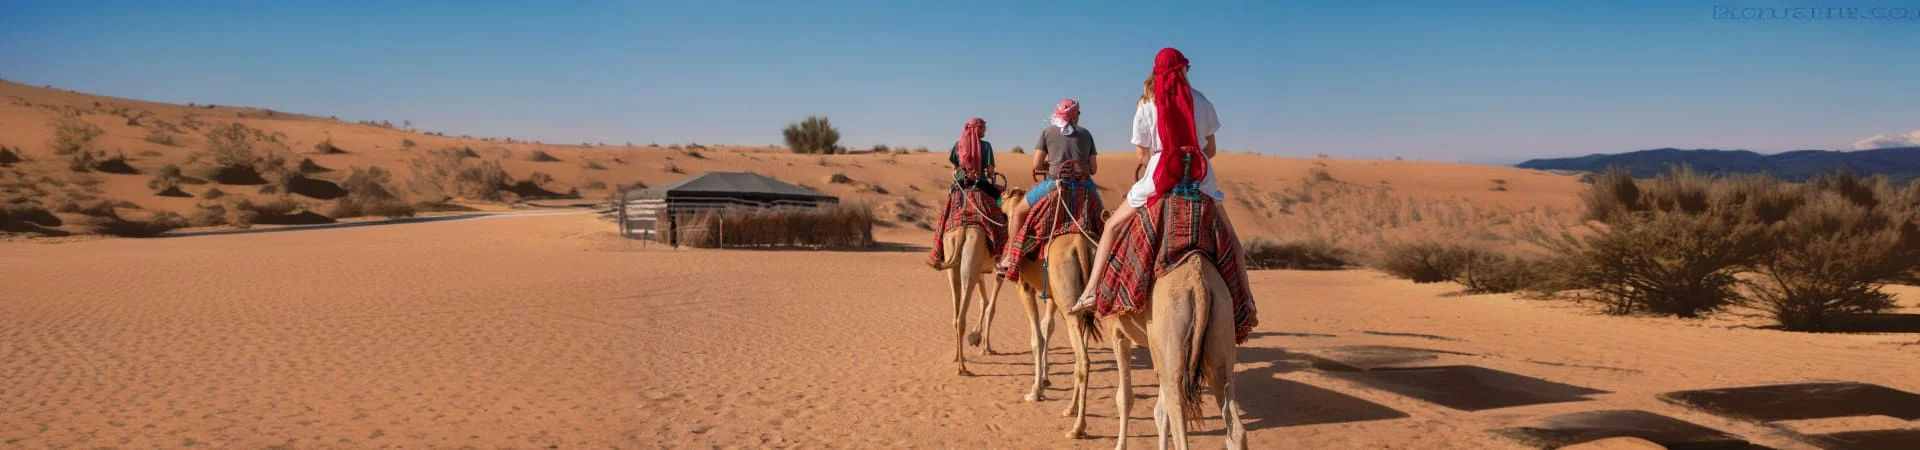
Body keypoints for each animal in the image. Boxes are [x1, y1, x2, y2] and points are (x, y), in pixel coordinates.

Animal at [1102, 253, 1248, 450]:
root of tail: (1198, 281)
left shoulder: (1117, 331)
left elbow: (1124, 399)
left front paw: (1120, 446)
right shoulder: (1159, 351)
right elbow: (1161, 412)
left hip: (1171, 325)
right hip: (1220, 323)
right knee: (1235, 427)